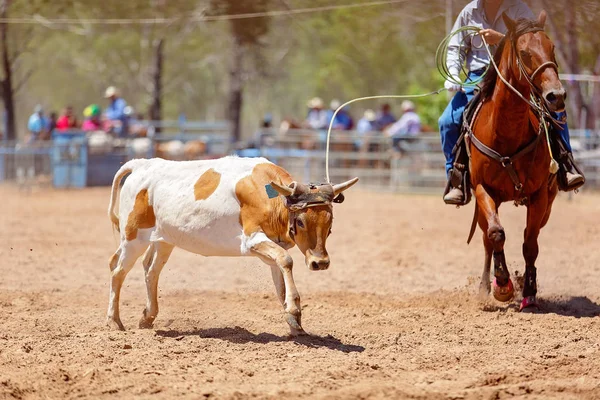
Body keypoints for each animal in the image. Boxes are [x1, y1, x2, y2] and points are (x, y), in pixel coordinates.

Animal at [106, 156, 356, 334]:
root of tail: (142, 164)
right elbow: (286, 261)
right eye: (301, 221)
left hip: (164, 240)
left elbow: (281, 280)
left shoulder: (272, 247)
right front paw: (294, 310)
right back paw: (114, 321)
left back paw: (147, 317)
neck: (270, 195)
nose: (320, 262)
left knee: (151, 270)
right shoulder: (252, 239)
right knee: (117, 271)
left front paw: (294, 321)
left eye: (330, 223)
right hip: (133, 238)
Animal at [468, 10, 568, 310]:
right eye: (524, 53)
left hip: (548, 202)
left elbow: (530, 243)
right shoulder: (483, 189)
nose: (556, 96)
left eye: (552, 47)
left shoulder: (539, 195)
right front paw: (502, 285)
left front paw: (529, 291)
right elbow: (496, 234)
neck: (506, 133)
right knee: (487, 238)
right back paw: (485, 287)